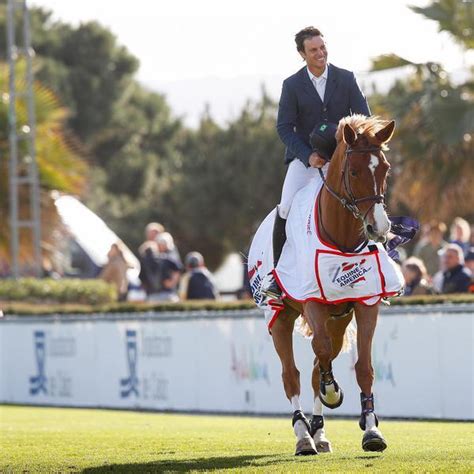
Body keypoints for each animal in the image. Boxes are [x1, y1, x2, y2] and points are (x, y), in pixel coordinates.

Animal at [270, 115, 396, 456]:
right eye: (353, 172)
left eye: (385, 169)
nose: (379, 228)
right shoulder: (312, 301)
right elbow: (320, 355)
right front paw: (332, 392)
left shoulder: (366, 304)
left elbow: (363, 367)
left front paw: (372, 430)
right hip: (280, 317)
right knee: (292, 374)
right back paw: (303, 435)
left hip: (338, 319)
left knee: (316, 364)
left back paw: (319, 432)